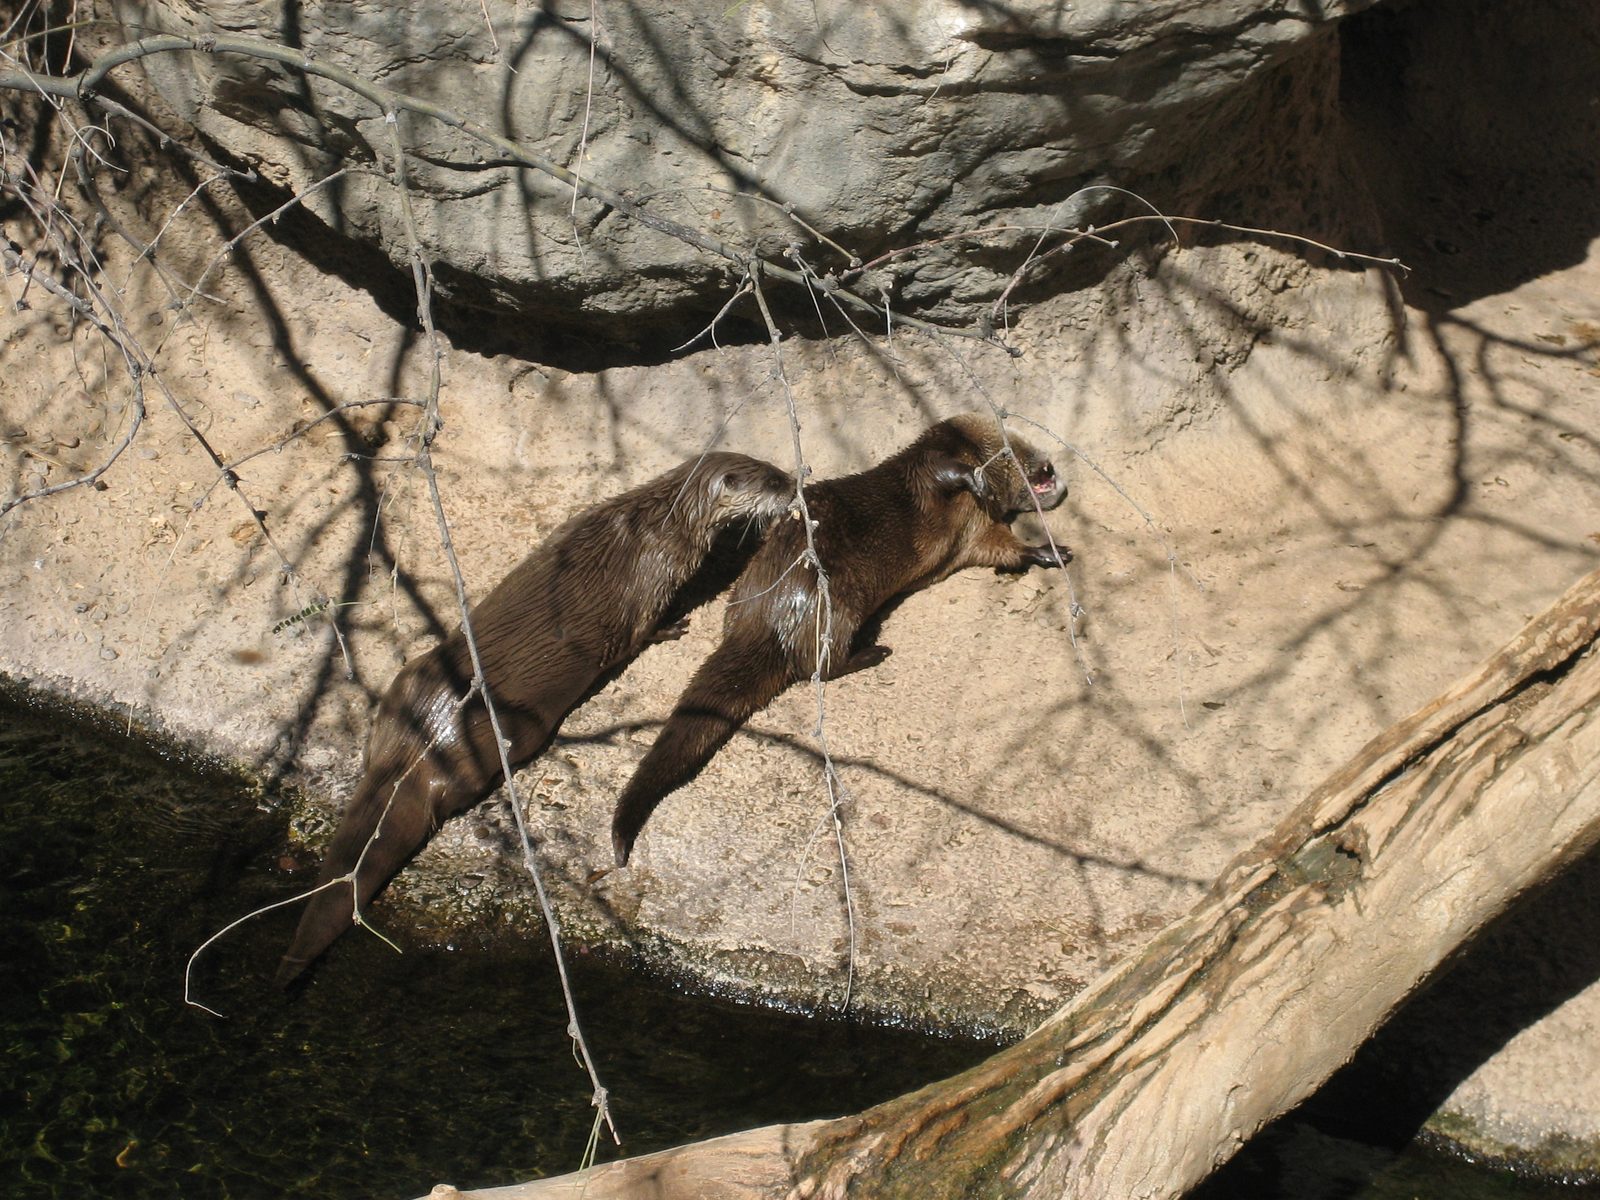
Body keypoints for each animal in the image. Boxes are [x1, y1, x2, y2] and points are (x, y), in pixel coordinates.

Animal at [275, 452, 793, 985]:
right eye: (774, 481)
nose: (796, 483)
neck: (662, 523)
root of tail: (417, 744)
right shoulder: (657, 578)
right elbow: (642, 630)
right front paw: (674, 626)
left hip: (408, 677)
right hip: (515, 730)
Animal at [610, 412, 1069, 867]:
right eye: (1036, 458)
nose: (1056, 476)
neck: (974, 452)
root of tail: (766, 614)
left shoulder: (978, 535)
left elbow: (1003, 550)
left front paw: (1049, 552)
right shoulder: (928, 460)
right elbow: (940, 471)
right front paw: (974, 480)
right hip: (840, 602)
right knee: (816, 667)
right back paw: (873, 652)